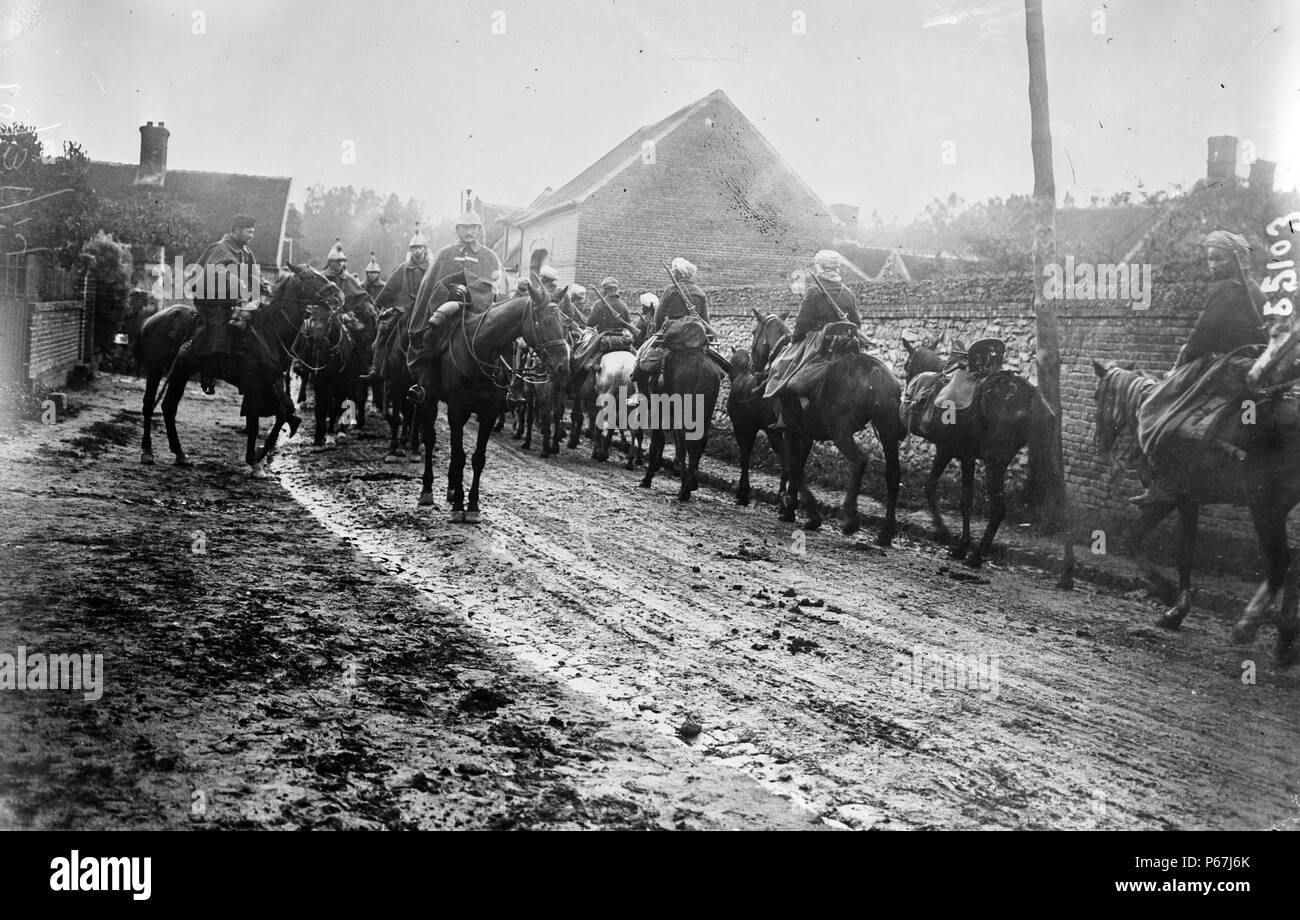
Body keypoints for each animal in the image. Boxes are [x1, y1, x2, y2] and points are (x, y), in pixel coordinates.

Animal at [137, 262, 343, 478]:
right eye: (308, 277)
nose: (337, 295)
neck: (268, 329)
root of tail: (150, 320)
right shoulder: (253, 385)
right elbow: (254, 423)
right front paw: (254, 461)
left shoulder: (269, 382)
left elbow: (281, 414)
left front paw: (260, 454)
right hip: (155, 369)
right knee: (149, 404)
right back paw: (147, 451)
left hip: (180, 373)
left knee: (168, 407)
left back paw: (180, 454)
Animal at [899, 340, 1060, 563]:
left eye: (907, 365)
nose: (906, 392)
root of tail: (1037, 402)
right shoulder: (968, 456)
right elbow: (966, 500)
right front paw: (961, 544)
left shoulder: (947, 449)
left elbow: (934, 488)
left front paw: (949, 537)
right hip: (1045, 456)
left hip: (996, 461)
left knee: (999, 509)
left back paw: (977, 556)